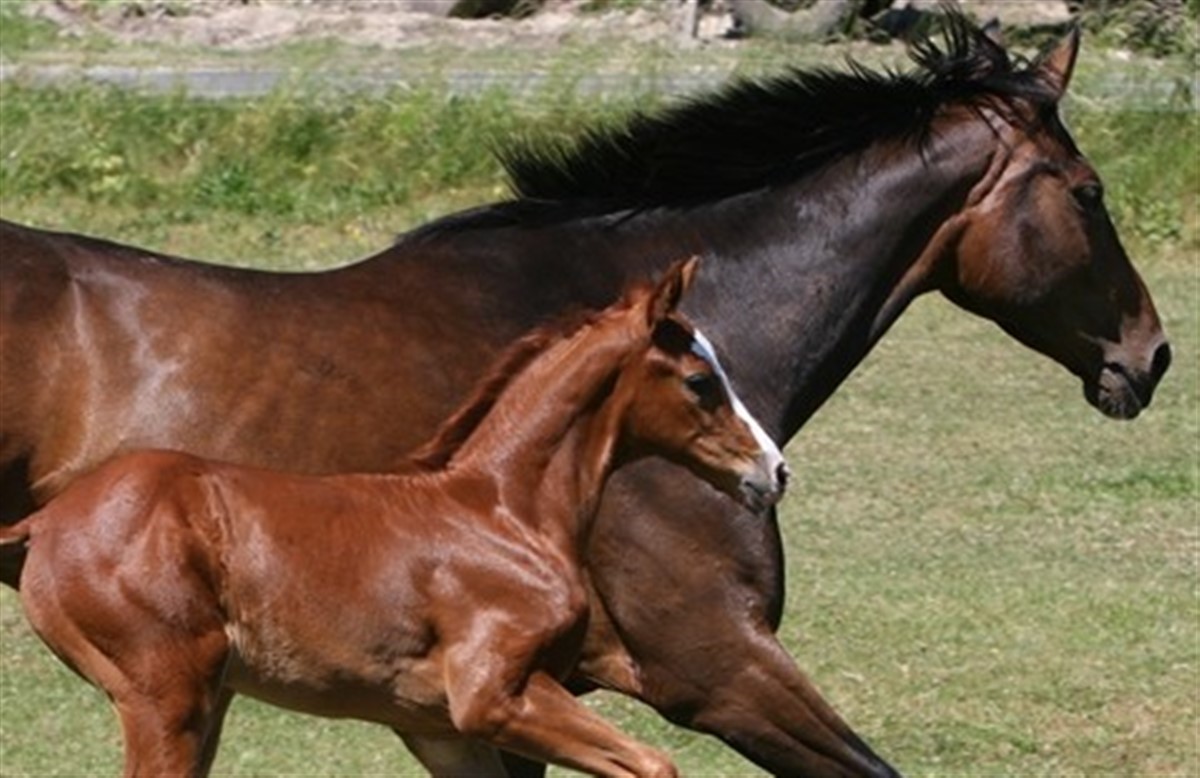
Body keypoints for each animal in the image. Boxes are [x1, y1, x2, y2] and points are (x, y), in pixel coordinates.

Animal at [1, 259, 790, 777]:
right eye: (701, 381)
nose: (773, 469)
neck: (506, 512)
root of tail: (45, 523)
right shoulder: (494, 699)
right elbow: (655, 764)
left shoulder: (448, 730)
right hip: (167, 698)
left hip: (201, 699)